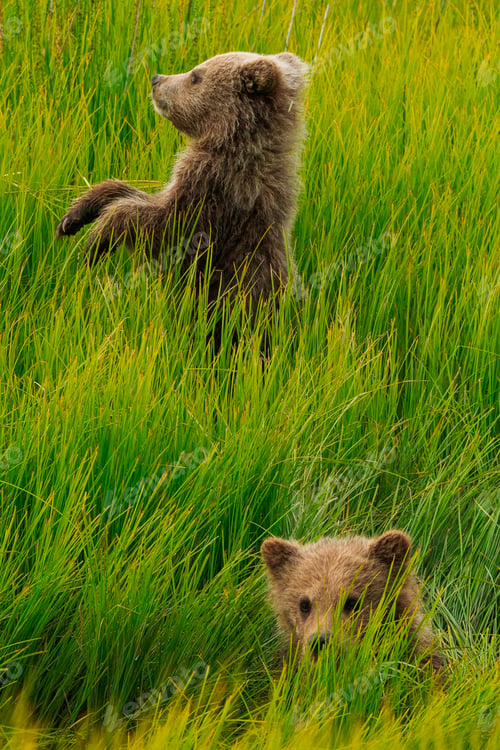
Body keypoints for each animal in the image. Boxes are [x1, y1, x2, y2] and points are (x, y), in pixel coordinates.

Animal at [56, 52, 308, 342]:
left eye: (196, 76)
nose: (156, 78)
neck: (236, 145)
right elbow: (139, 196)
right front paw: (75, 216)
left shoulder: (216, 195)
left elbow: (165, 229)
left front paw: (95, 244)